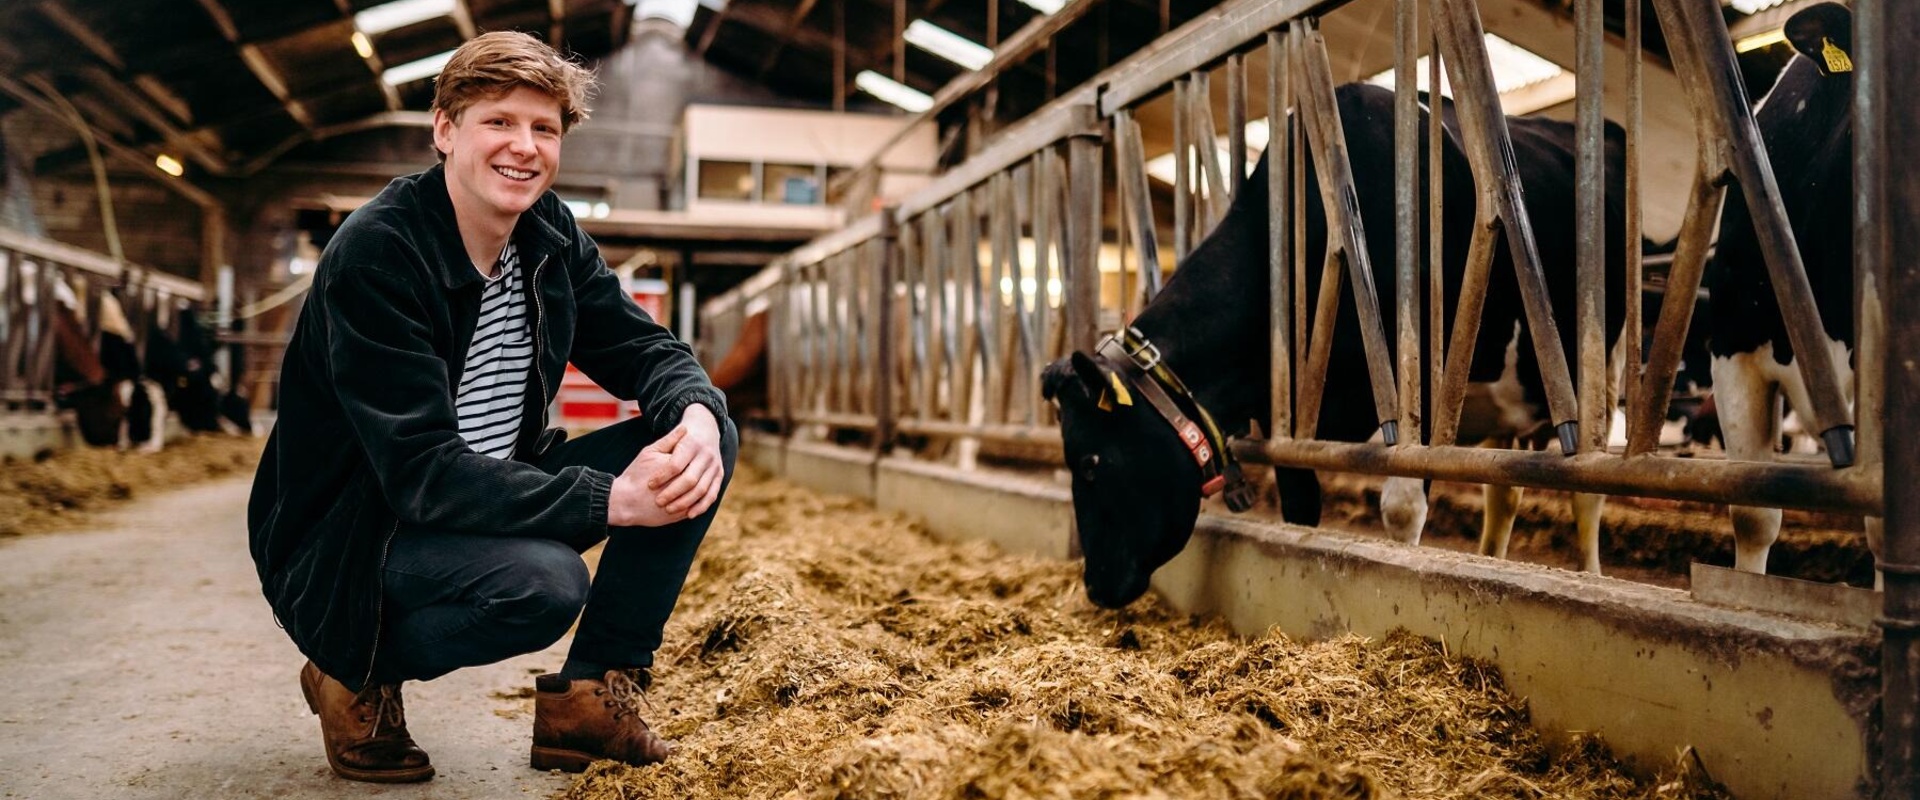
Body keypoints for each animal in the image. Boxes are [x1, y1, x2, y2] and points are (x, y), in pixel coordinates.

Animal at [1044, 82, 1628, 606]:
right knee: (1503, 492)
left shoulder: (1425, 388)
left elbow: (1401, 511)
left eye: (1091, 463)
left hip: (1603, 367)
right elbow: (1301, 509)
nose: (1094, 587)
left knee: (1588, 495)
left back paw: (1591, 578)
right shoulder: (1286, 417)